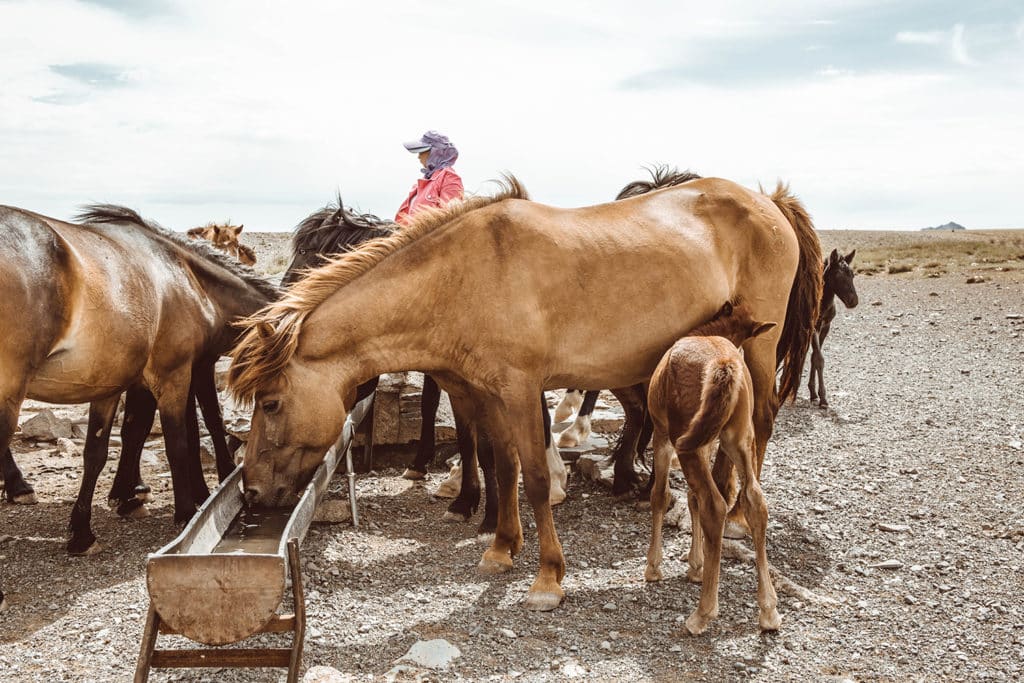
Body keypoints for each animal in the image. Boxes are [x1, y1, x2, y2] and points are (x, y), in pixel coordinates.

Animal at [0, 204, 278, 557]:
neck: (190, 281)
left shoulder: (112, 383)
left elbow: (105, 448)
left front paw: (89, 527)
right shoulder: (180, 372)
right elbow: (184, 436)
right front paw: (190, 506)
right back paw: (19, 486)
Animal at [643, 303, 778, 634]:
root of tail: (724, 363)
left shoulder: (662, 436)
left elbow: (661, 496)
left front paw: (654, 566)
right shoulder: (705, 440)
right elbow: (691, 499)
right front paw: (697, 564)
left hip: (684, 441)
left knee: (714, 504)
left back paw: (703, 613)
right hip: (739, 439)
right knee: (754, 501)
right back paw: (768, 610)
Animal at [806, 250, 856, 411]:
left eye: (852, 275)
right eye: (837, 276)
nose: (854, 301)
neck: (823, 304)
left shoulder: (825, 326)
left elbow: (814, 357)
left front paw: (813, 393)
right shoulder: (813, 328)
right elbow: (819, 359)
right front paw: (823, 398)